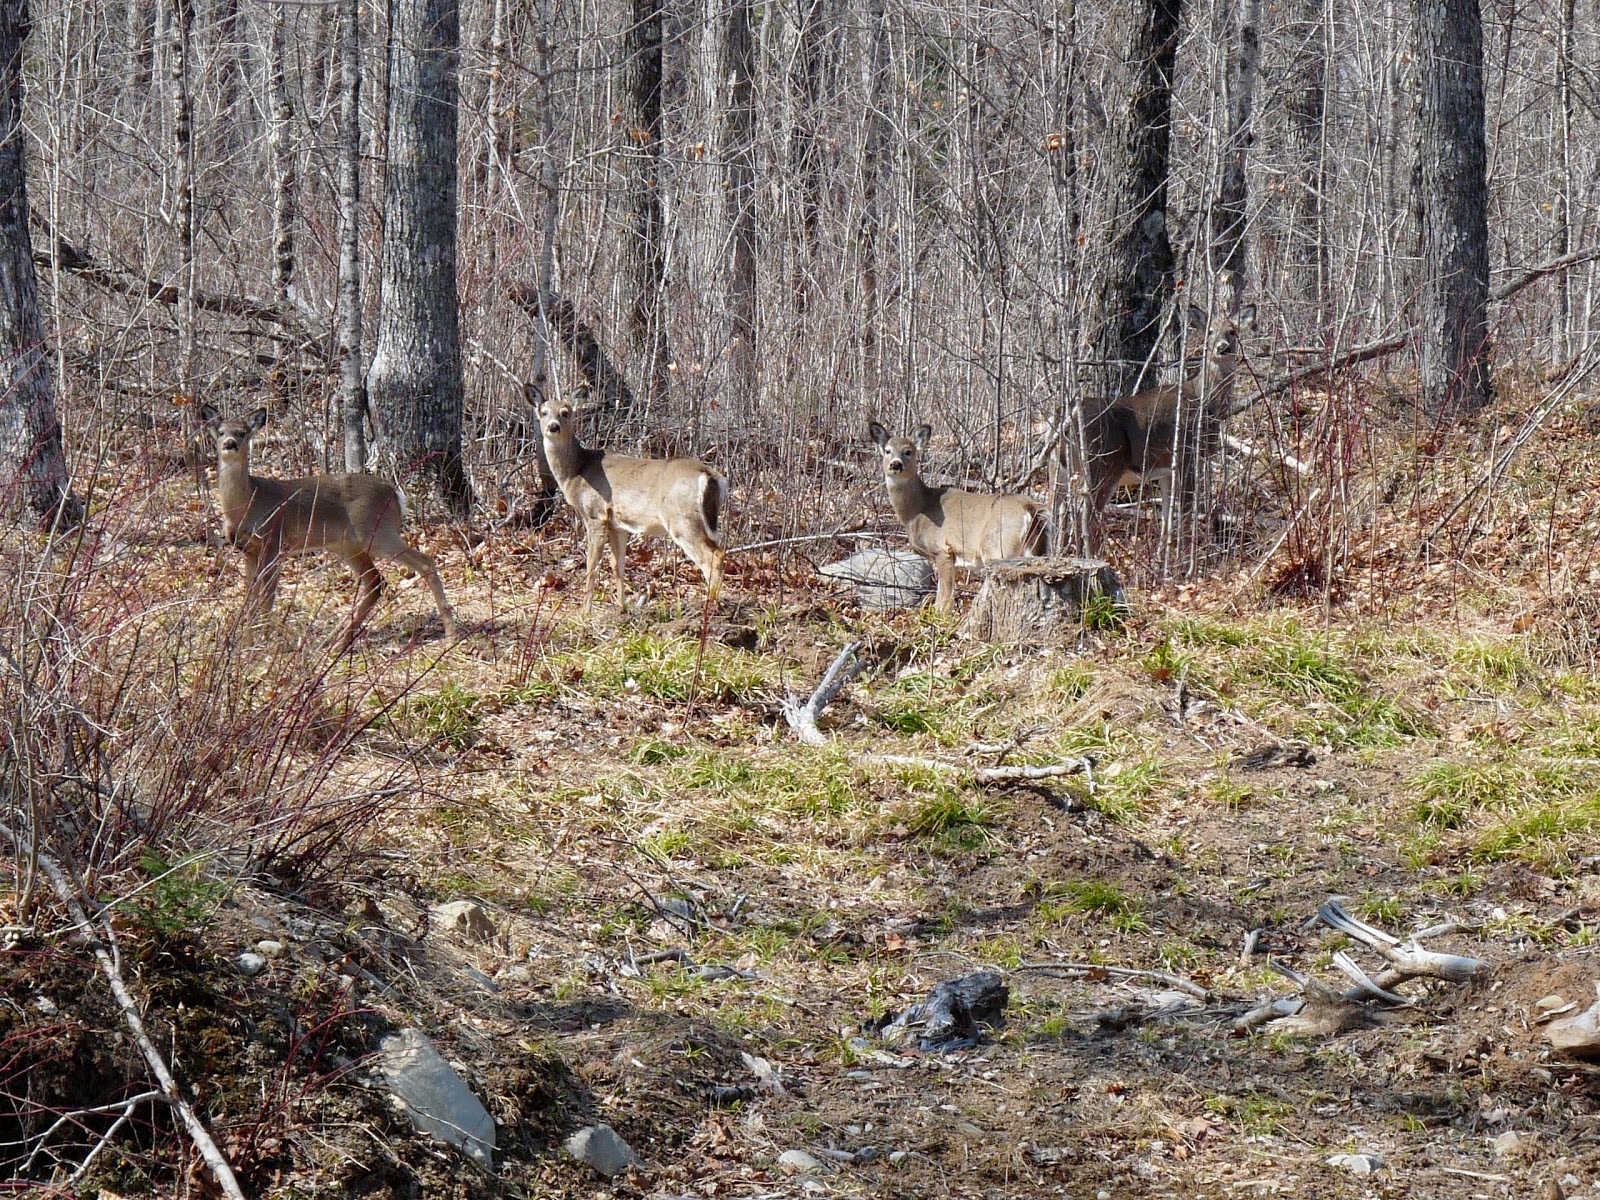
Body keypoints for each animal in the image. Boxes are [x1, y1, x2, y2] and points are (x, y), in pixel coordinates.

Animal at [201, 404, 460, 653]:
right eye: (221, 431)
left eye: (242, 432)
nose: (229, 443)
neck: (247, 503)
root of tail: (396, 493)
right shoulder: (248, 550)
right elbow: (250, 596)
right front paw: (244, 645)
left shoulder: (274, 542)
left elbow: (266, 596)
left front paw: (260, 644)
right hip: (348, 545)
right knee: (375, 582)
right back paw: (339, 644)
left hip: (377, 533)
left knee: (424, 562)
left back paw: (451, 634)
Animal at [536, 394, 725, 611]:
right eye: (543, 412)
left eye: (565, 413)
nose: (553, 426)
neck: (577, 470)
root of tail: (709, 475)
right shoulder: (617, 525)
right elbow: (617, 564)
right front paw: (622, 607)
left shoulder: (595, 515)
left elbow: (592, 564)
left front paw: (584, 612)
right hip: (705, 521)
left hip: (682, 520)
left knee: (713, 557)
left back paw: (710, 606)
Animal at [868, 420, 1048, 612]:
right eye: (887, 450)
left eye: (908, 451)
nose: (896, 464)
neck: (918, 511)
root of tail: (1029, 508)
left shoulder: (943, 550)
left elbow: (943, 602)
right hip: (1032, 548)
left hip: (999, 547)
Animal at [1082, 303, 1254, 521]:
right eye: (1210, 331)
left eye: (1232, 331)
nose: (1222, 347)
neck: (1204, 402)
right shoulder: (1186, 455)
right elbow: (1185, 514)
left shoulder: (1166, 471)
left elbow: (1167, 517)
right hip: (1100, 466)